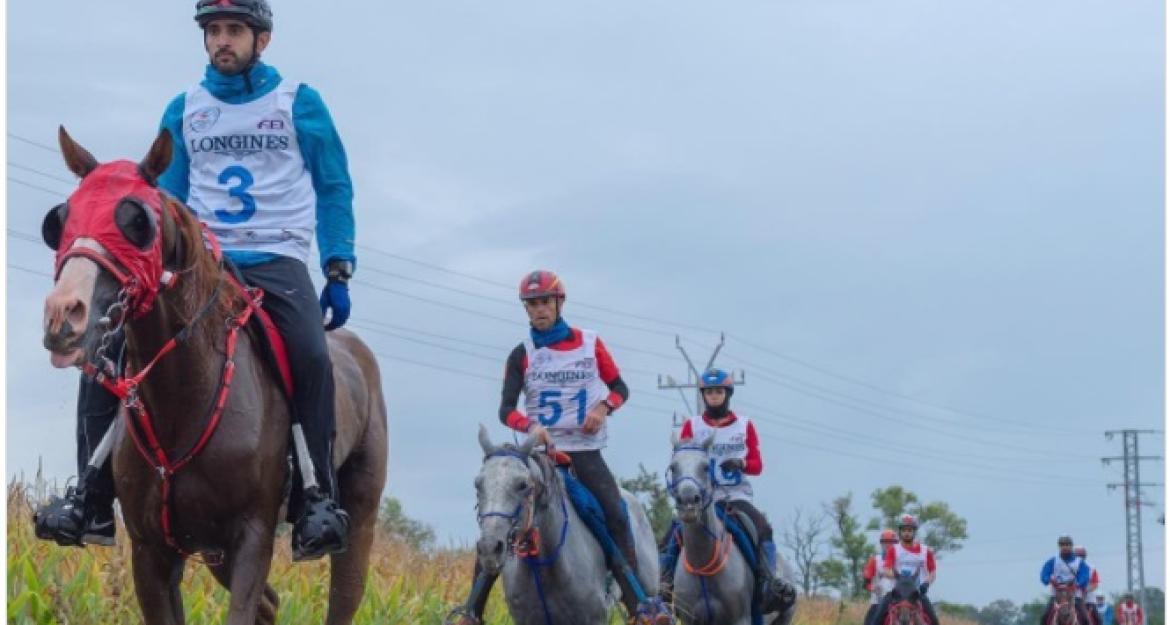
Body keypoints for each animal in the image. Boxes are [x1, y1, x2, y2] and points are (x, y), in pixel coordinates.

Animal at [41, 128, 388, 625]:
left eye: (137, 221)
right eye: (60, 220)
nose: (63, 314)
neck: (183, 398)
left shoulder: (252, 537)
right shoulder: (152, 551)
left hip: (357, 521)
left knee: (342, 595)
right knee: (271, 604)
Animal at [669, 435, 795, 625]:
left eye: (706, 467)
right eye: (673, 467)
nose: (688, 501)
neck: (704, 565)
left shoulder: (740, 619)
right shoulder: (689, 619)